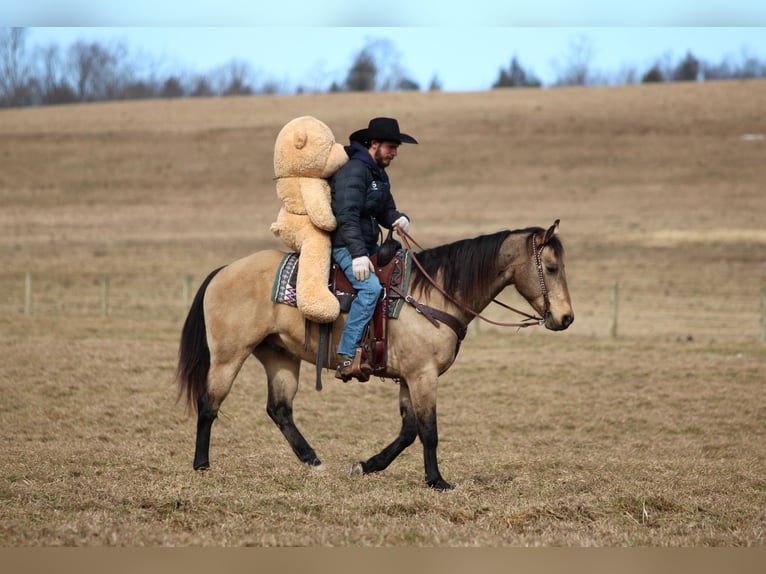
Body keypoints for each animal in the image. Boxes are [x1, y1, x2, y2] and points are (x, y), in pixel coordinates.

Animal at [176, 220, 573, 490]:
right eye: (551, 268)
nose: (566, 318)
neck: (432, 295)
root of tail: (223, 271)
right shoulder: (423, 375)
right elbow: (429, 431)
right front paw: (437, 481)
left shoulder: (408, 377)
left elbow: (409, 431)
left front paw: (367, 465)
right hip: (229, 356)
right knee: (209, 404)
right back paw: (202, 464)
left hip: (280, 356)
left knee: (279, 410)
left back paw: (314, 461)